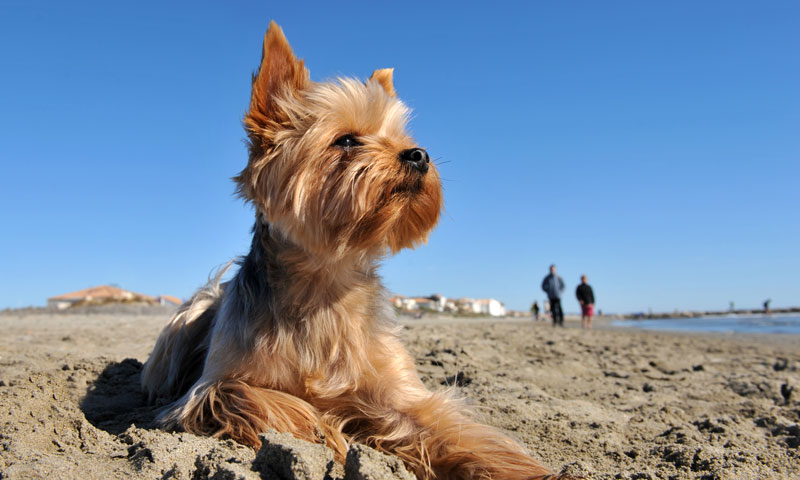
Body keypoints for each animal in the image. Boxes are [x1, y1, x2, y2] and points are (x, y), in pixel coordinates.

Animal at [139, 20, 576, 478]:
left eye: (402, 138)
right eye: (346, 141)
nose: (419, 155)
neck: (326, 282)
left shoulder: (398, 392)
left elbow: (455, 433)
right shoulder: (212, 388)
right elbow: (255, 397)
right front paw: (326, 429)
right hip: (193, 312)